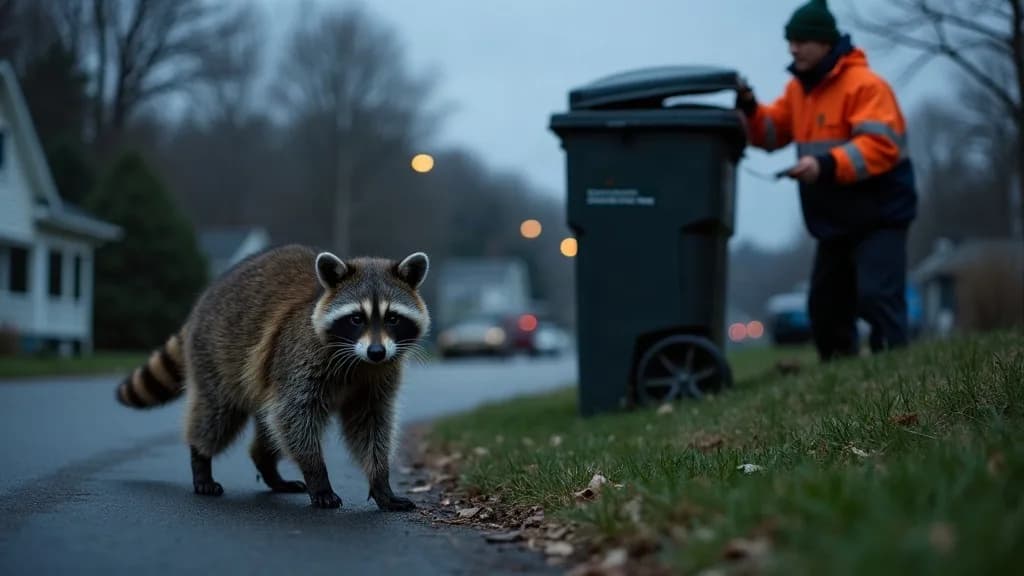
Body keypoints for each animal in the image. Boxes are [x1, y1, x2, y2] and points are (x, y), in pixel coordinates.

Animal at [115, 244, 430, 511]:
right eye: (356, 318)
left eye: (392, 318)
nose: (376, 351)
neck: (359, 359)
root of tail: (206, 297)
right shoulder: (299, 356)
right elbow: (295, 416)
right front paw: (317, 474)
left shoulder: (379, 376)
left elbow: (371, 424)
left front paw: (380, 480)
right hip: (218, 355)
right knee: (218, 413)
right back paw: (201, 459)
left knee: (267, 426)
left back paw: (268, 467)